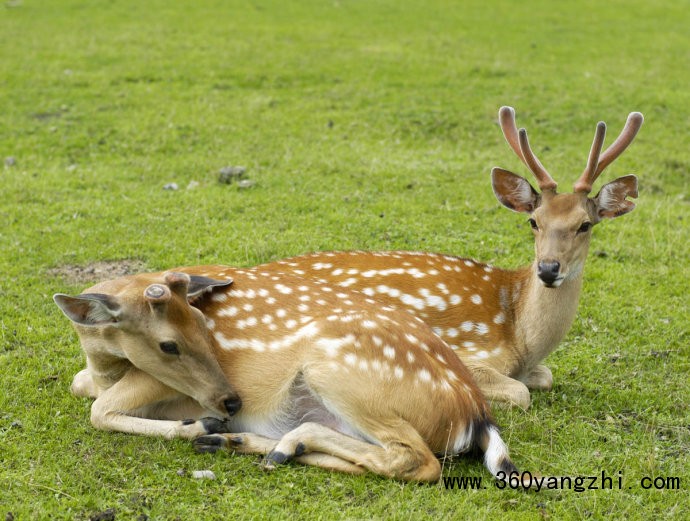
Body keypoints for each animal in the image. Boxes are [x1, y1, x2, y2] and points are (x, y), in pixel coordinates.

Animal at [55, 266, 528, 482]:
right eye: (169, 343)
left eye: (204, 325)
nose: (231, 402)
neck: (105, 365)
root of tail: (475, 415)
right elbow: (81, 388)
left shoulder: (155, 382)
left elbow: (100, 410)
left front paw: (193, 425)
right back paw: (253, 444)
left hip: (338, 370)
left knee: (418, 460)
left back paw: (267, 442)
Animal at [260, 105, 640, 408]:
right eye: (534, 221)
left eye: (585, 225)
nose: (548, 269)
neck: (521, 339)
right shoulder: (472, 349)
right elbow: (520, 392)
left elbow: (544, 377)